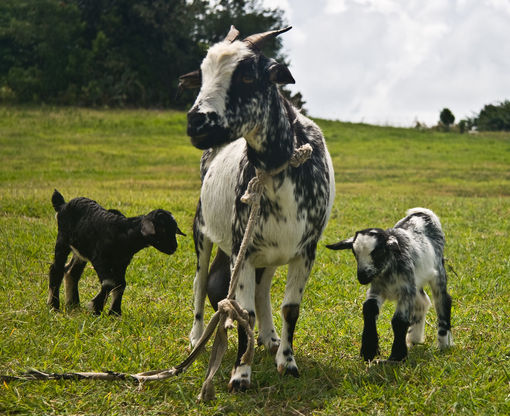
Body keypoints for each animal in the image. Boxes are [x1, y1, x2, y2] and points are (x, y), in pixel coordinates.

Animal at [47, 189, 185, 316]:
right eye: (162, 229)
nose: (174, 247)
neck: (122, 232)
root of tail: (62, 205)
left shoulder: (122, 263)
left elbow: (120, 284)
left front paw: (115, 313)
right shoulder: (100, 260)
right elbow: (109, 283)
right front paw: (96, 307)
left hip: (80, 251)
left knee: (71, 271)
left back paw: (73, 304)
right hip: (62, 240)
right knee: (56, 269)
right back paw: (54, 305)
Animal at [177, 26, 336, 390]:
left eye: (247, 75)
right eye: (202, 76)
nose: (197, 123)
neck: (278, 165)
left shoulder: (304, 250)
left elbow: (290, 308)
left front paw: (287, 363)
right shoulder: (243, 250)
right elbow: (243, 311)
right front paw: (240, 374)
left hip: (272, 250)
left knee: (262, 291)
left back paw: (269, 337)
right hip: (202, 229)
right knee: (201, 282)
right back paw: (197, 335)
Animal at [326, 210, 454, 362]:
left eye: (378, 251)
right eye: (354, 252)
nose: (362, 277)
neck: (388, 271)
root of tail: (422, 212)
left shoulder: (406, 291)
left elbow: (399, 321)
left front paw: (397, 356)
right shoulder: (378, 289)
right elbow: (369, 309)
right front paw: (369, 350)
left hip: (438, 273)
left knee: (443, 301)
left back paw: (444, 343)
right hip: (416, 282)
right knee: (423, 302)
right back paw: (415, 338)